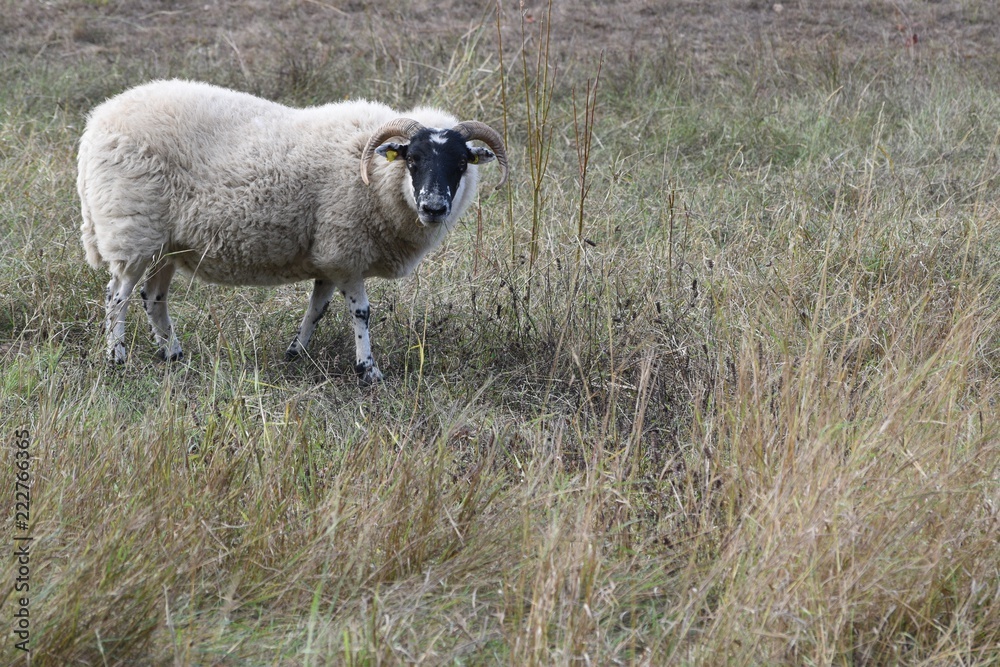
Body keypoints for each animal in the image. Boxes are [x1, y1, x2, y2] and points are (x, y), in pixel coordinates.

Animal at [77, 79, 508, 384]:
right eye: (412, 159)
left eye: (461, 163)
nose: (433, 207)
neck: (373, 175)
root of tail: (97, 121)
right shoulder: (347, 250)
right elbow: (362, 313)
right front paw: (368, 370)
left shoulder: (330, 256)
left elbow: (318, 309)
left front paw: (295, 353)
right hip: (132, 229)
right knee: (117, 296)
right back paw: (116, 357)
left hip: (165, 243)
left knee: (153, 298)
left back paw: (173, 354)